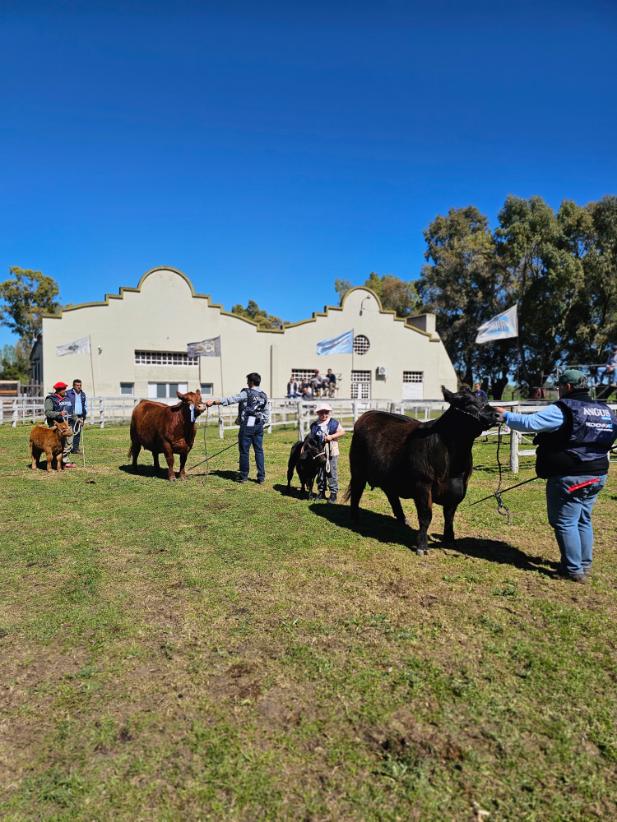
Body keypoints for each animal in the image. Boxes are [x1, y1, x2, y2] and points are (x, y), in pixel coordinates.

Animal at [345, 386, 501, 554]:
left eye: (484, 399)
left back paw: (402, 519)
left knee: (391, 494)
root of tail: (368, 414)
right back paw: (354, 518)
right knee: (357, 490)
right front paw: (422, 545)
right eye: (468, 402)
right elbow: (426, 516)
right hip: (357, 469)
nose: (498, 414)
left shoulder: (459, 488)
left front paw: (450, 540)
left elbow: (449, 517)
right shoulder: (423, 485)